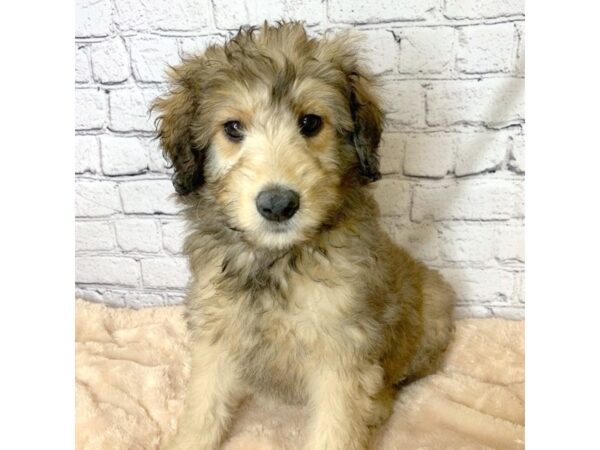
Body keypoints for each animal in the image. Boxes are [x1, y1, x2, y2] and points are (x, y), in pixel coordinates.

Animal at [154, 21, 454, 450]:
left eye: (310, 122)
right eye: (233, 128)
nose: (278, 204)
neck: (275, 260)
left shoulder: (341, 349)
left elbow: (336, 428)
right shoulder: (217, 330)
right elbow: (202, 409)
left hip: (434, 305)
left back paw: (378, 405)